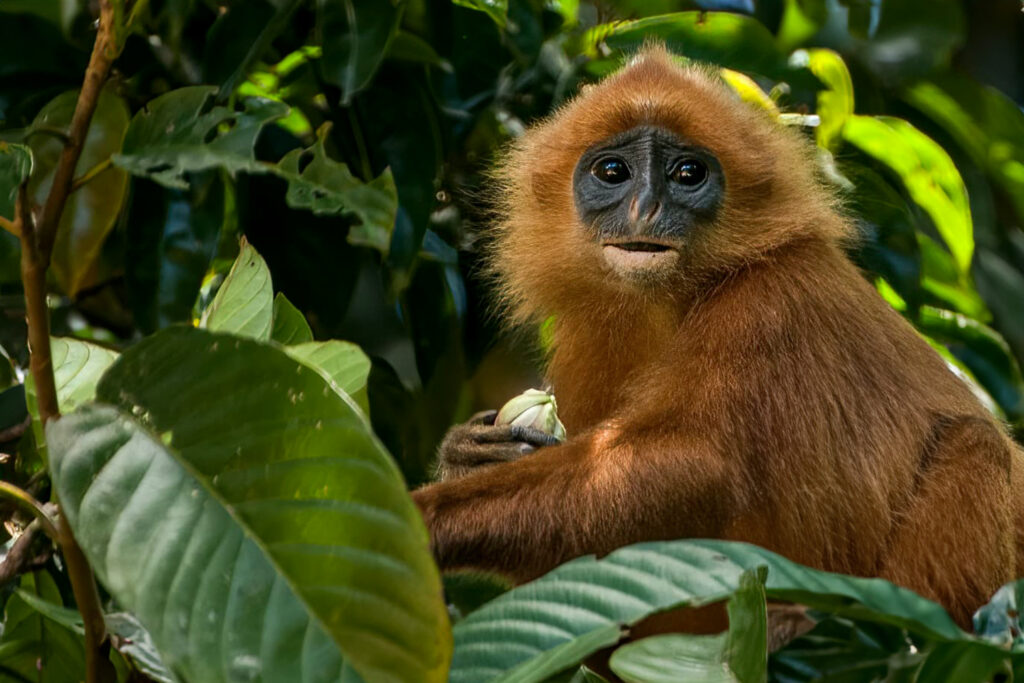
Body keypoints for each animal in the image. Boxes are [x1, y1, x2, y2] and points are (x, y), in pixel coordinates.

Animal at [411, 45, 1024, 626]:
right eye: (613, 173)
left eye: (688, 175)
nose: (646, 208)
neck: (670, 305)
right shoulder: (589, 335)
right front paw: (468, 453)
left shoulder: (770, 301)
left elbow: (695, 467)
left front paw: (428, 520)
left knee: (977, 445)